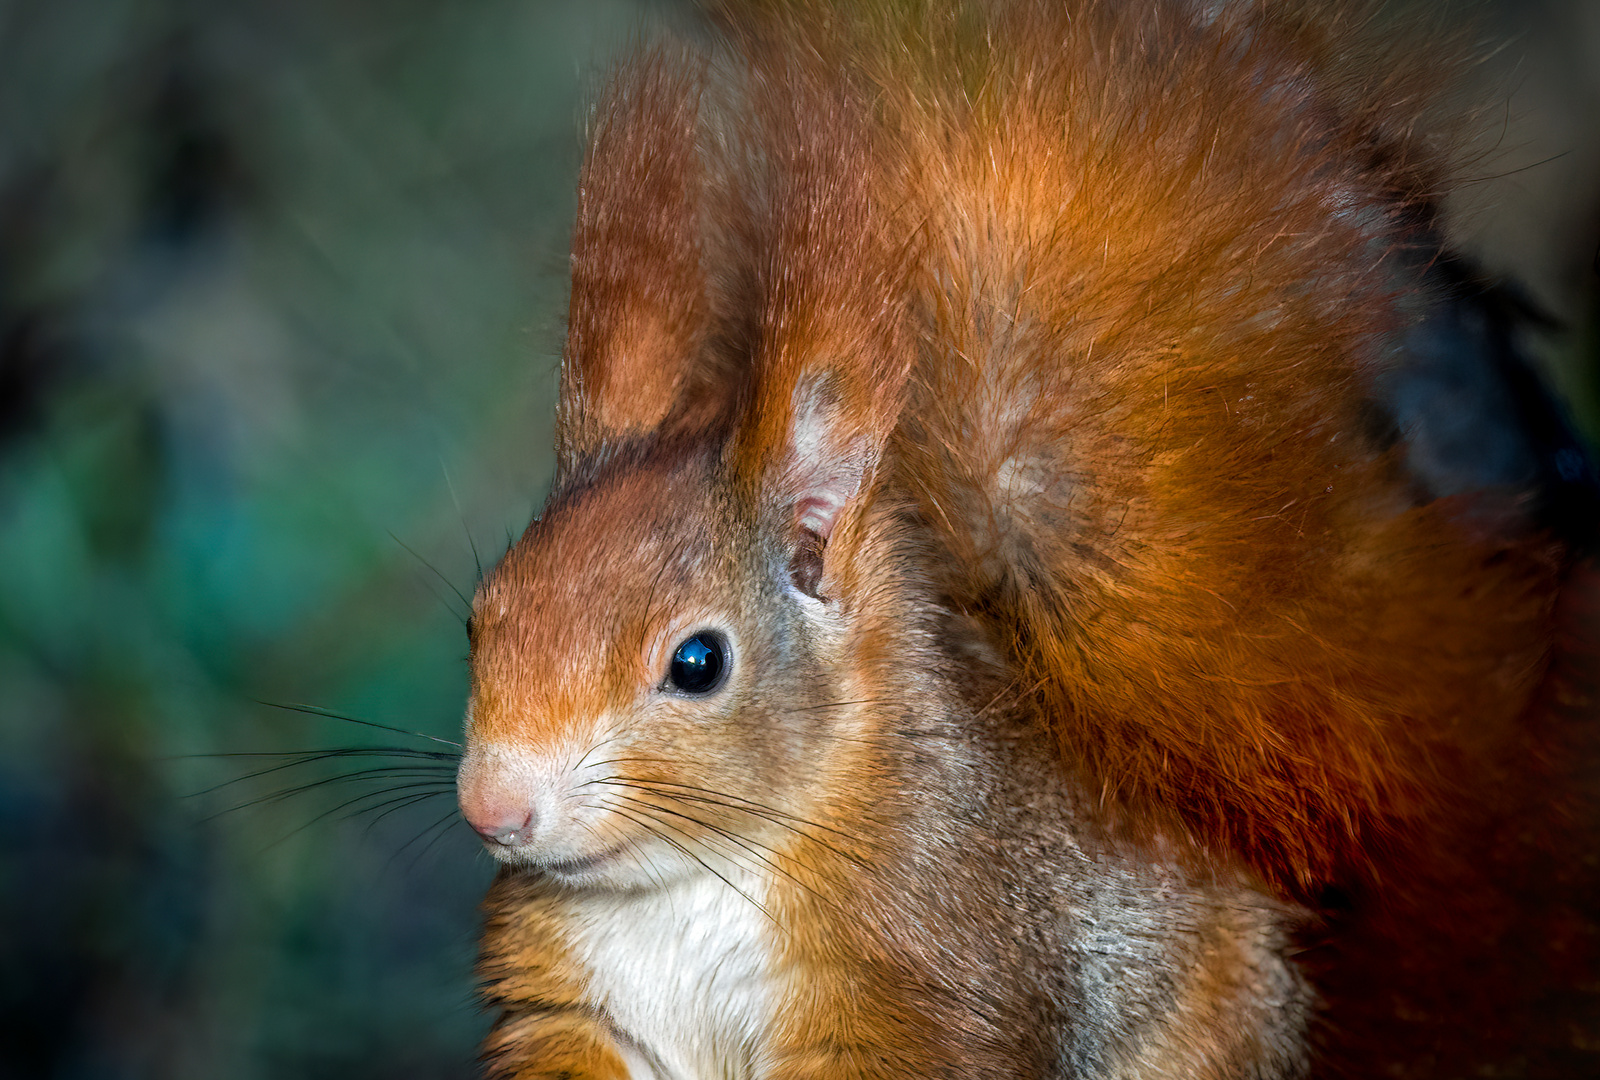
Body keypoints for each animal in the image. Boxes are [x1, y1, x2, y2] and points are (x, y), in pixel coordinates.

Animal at [451, 4, 1600, 1075]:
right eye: (479, 621)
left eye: (697, 663)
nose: (491, 808)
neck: (686, 888)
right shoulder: (574, 1010)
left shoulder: (932, 981)